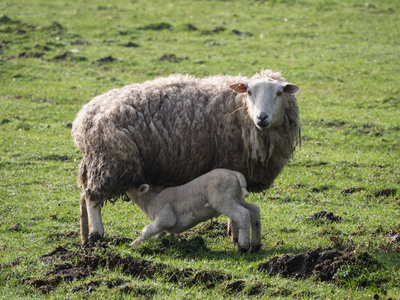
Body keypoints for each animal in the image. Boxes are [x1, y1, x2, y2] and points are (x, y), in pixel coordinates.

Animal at [126, 169, 260, 253]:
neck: (151, 201)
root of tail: (235, 173)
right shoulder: (163, 224)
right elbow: (158, 233)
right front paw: (156, 242)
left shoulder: (165, 217)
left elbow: (147, 230)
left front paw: (132, 245)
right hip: (236, 197)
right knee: (254, 210)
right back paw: (255, 245)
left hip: (222, 199)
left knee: (242, 214)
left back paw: (243, 247)